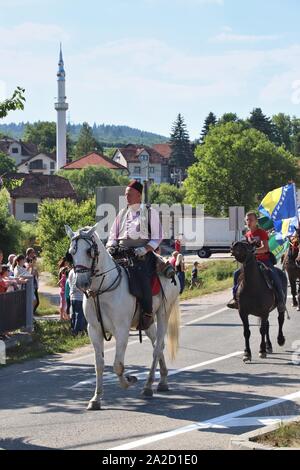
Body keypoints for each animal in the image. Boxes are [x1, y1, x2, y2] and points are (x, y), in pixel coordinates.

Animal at [65, 223, 180, 408]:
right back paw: (162, 380)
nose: (81, 283)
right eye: (71, 253)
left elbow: (118, 365)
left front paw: (129, 380)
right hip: (147, 321)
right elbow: (99, 365)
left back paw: (148, 386)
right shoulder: (94, 330)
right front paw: (96, 398)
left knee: (157, 348)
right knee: (158, 344)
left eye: (89, 251)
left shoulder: (122, 330)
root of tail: (171, 269)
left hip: (164, 313)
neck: (102, 291)